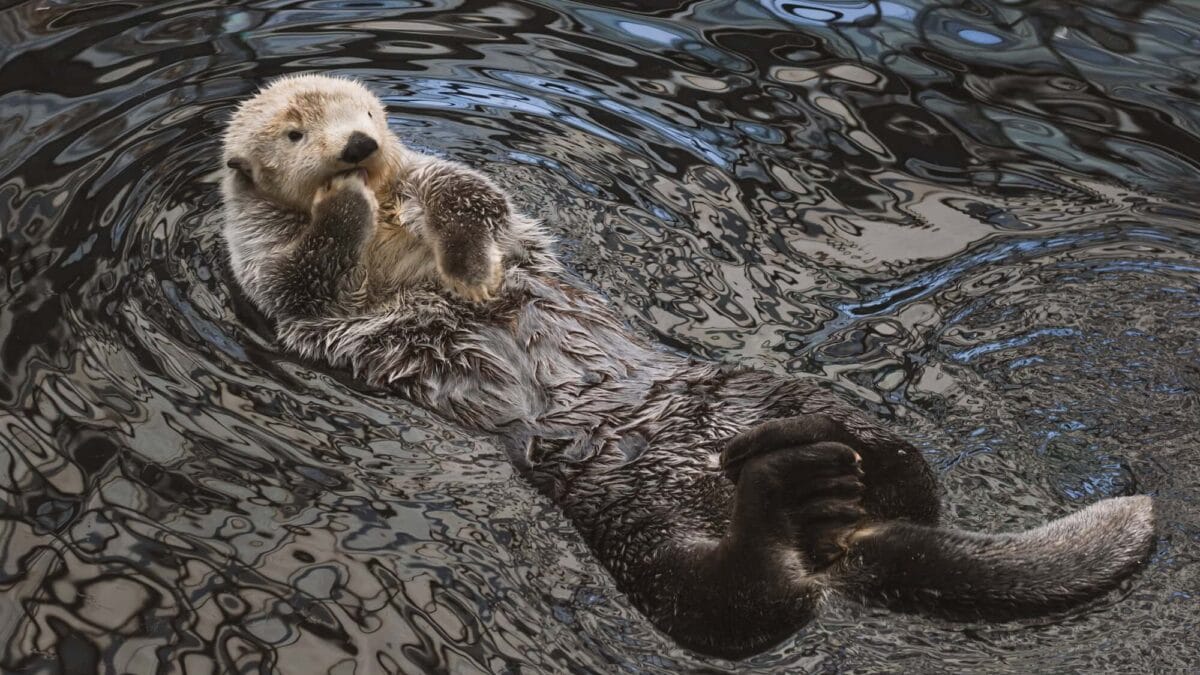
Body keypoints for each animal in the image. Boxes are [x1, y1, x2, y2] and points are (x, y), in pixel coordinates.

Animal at [218, 74, 1155, 658]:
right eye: (297, 132)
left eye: (372, 113)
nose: (356, 147)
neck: (387, 216)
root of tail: (834, 543)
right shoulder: (266, 274)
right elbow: (306, 278)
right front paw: (342, 206)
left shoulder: (440, 176)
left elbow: (473, 196)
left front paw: (472, 265)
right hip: (626, 519)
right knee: (733, 605)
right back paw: (794, 495)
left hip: (751, 393)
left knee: (900, 485)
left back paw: (855, 455)